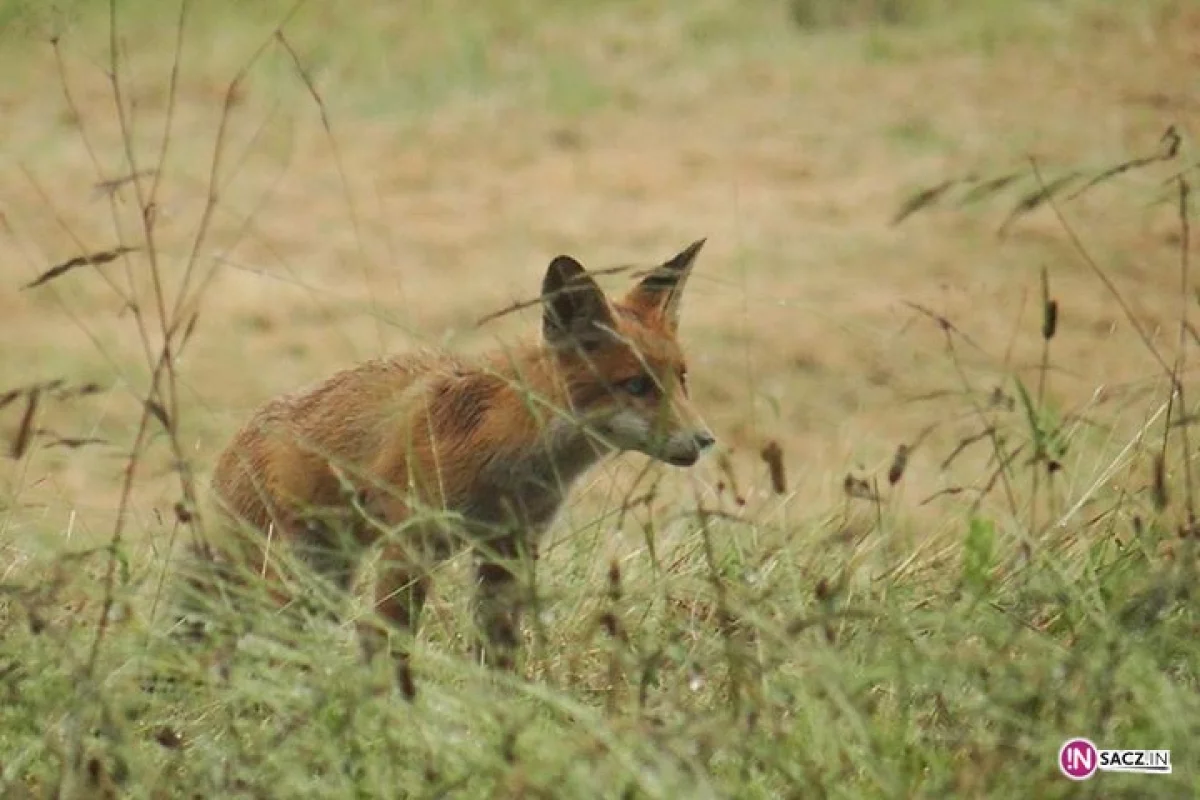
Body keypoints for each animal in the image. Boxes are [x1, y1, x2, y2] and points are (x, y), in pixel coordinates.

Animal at [189, 239, 710, 690]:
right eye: (636, 385)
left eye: (683, 379)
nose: (705, 440)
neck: (512, 457)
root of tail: (236, 440)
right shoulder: (412, 540)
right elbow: (387, 640)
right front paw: (391, 710)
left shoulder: (510, 547)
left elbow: (497, 654)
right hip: (288, 577)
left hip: (325, 580)